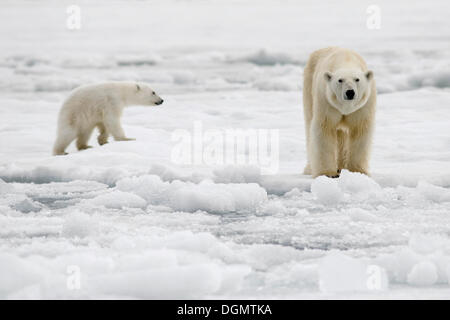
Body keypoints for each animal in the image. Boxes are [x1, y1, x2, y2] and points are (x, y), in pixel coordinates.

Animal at [302, 47, 376, 178]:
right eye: (340, 80)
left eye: (357, 79)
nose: (350, 92)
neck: (346, 60)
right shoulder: (326, 101)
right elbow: (325, 129)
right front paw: (328, 173)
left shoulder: (363, 106)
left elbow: (360, 130)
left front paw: (358, 171)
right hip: (309, 86)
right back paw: (310, 168)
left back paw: (341, 167)